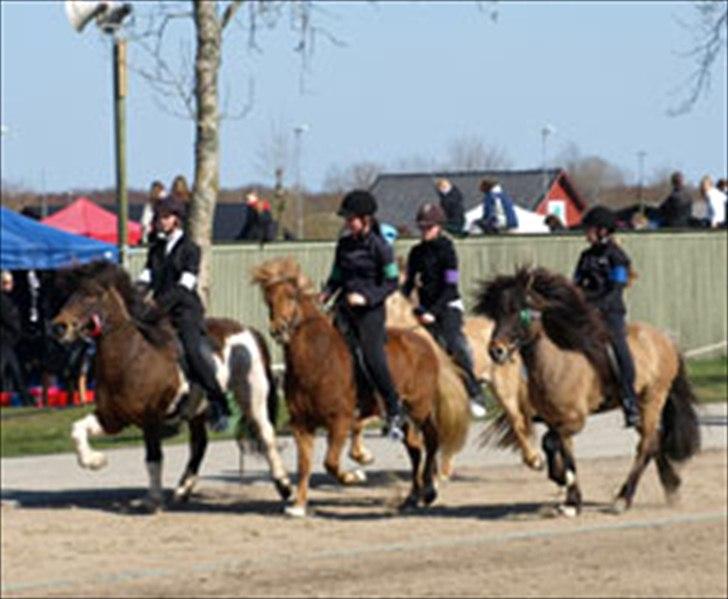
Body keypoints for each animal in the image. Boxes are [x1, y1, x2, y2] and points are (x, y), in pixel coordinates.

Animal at [51, 262, 292, 510]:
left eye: (93, 295)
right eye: (71, 294)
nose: (59, 327)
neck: (132, 356)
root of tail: (247, 330)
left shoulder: (150, 420)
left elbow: (153, 458)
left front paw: (153, 500)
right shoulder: (112, 418)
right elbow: (77, 430)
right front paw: (95, 461)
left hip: (252, 395)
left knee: (266, 434)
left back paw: (284, 486)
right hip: (197, 410)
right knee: (200, 444)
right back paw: (183, 489)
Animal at [250, 255, 470, 516]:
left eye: (292, 295)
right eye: (268, 299)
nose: (278, 330)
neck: (318, 359)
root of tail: (424, 343)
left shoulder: (341, 421)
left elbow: (331, 463)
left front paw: (355, 475)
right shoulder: (302, 425)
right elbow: (304, 465)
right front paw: (299, 505)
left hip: (420, 408)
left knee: (432, 440)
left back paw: (428, 490)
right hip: (403, 416)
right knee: (416, 449)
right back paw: (412, 497)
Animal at [474, 266, 704, 516]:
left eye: (520, 311)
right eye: (497, 314)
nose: (496, 351)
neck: (557, 362)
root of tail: (665, 339)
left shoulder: (575, 421)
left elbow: (553, 443)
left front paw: (564, 486)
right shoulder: (554, 420)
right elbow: (559, 448)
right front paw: (567, 495)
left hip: (652, 399)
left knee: (646, 445)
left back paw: (623, 499)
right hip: (642, 409)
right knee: (655, 440)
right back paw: (671, 488)